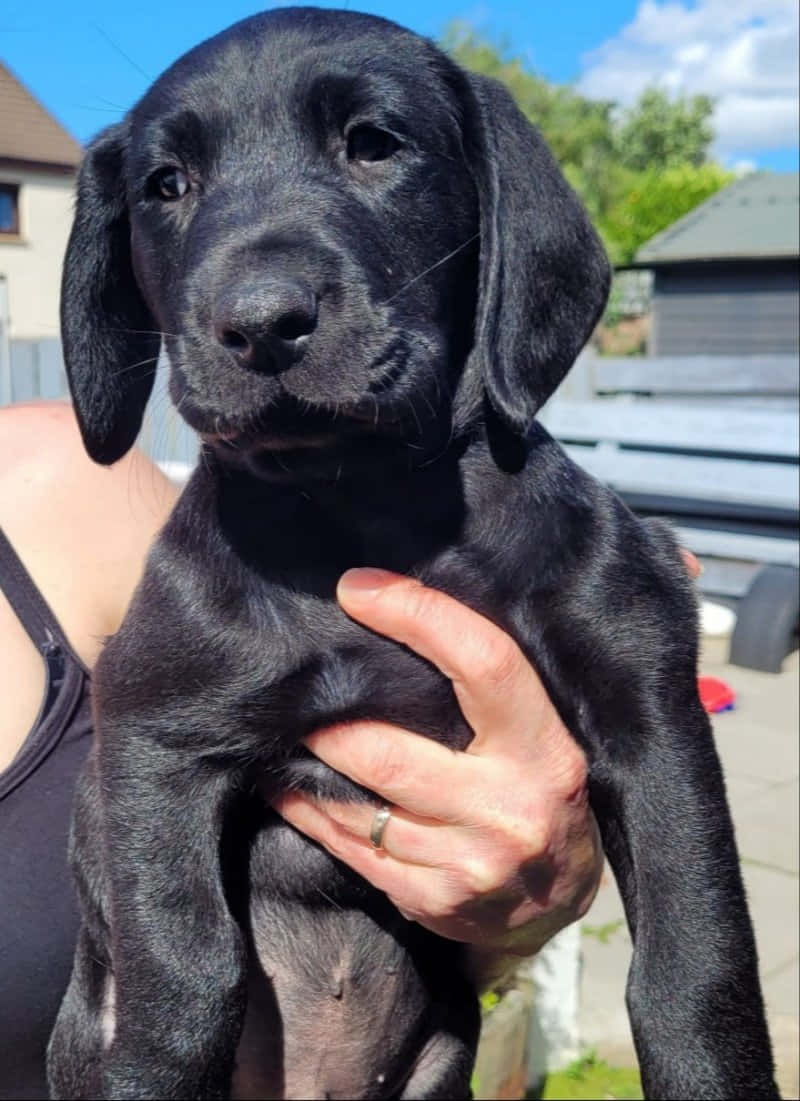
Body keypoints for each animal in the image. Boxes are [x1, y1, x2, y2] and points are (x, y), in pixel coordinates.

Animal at [47, 8, 779, 1101]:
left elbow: (695, 964)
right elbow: (184, 971)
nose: (259, 324)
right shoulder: (153, 736)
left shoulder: (647, 710)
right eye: (166, 186)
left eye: (374, 145)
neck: (366, 506)